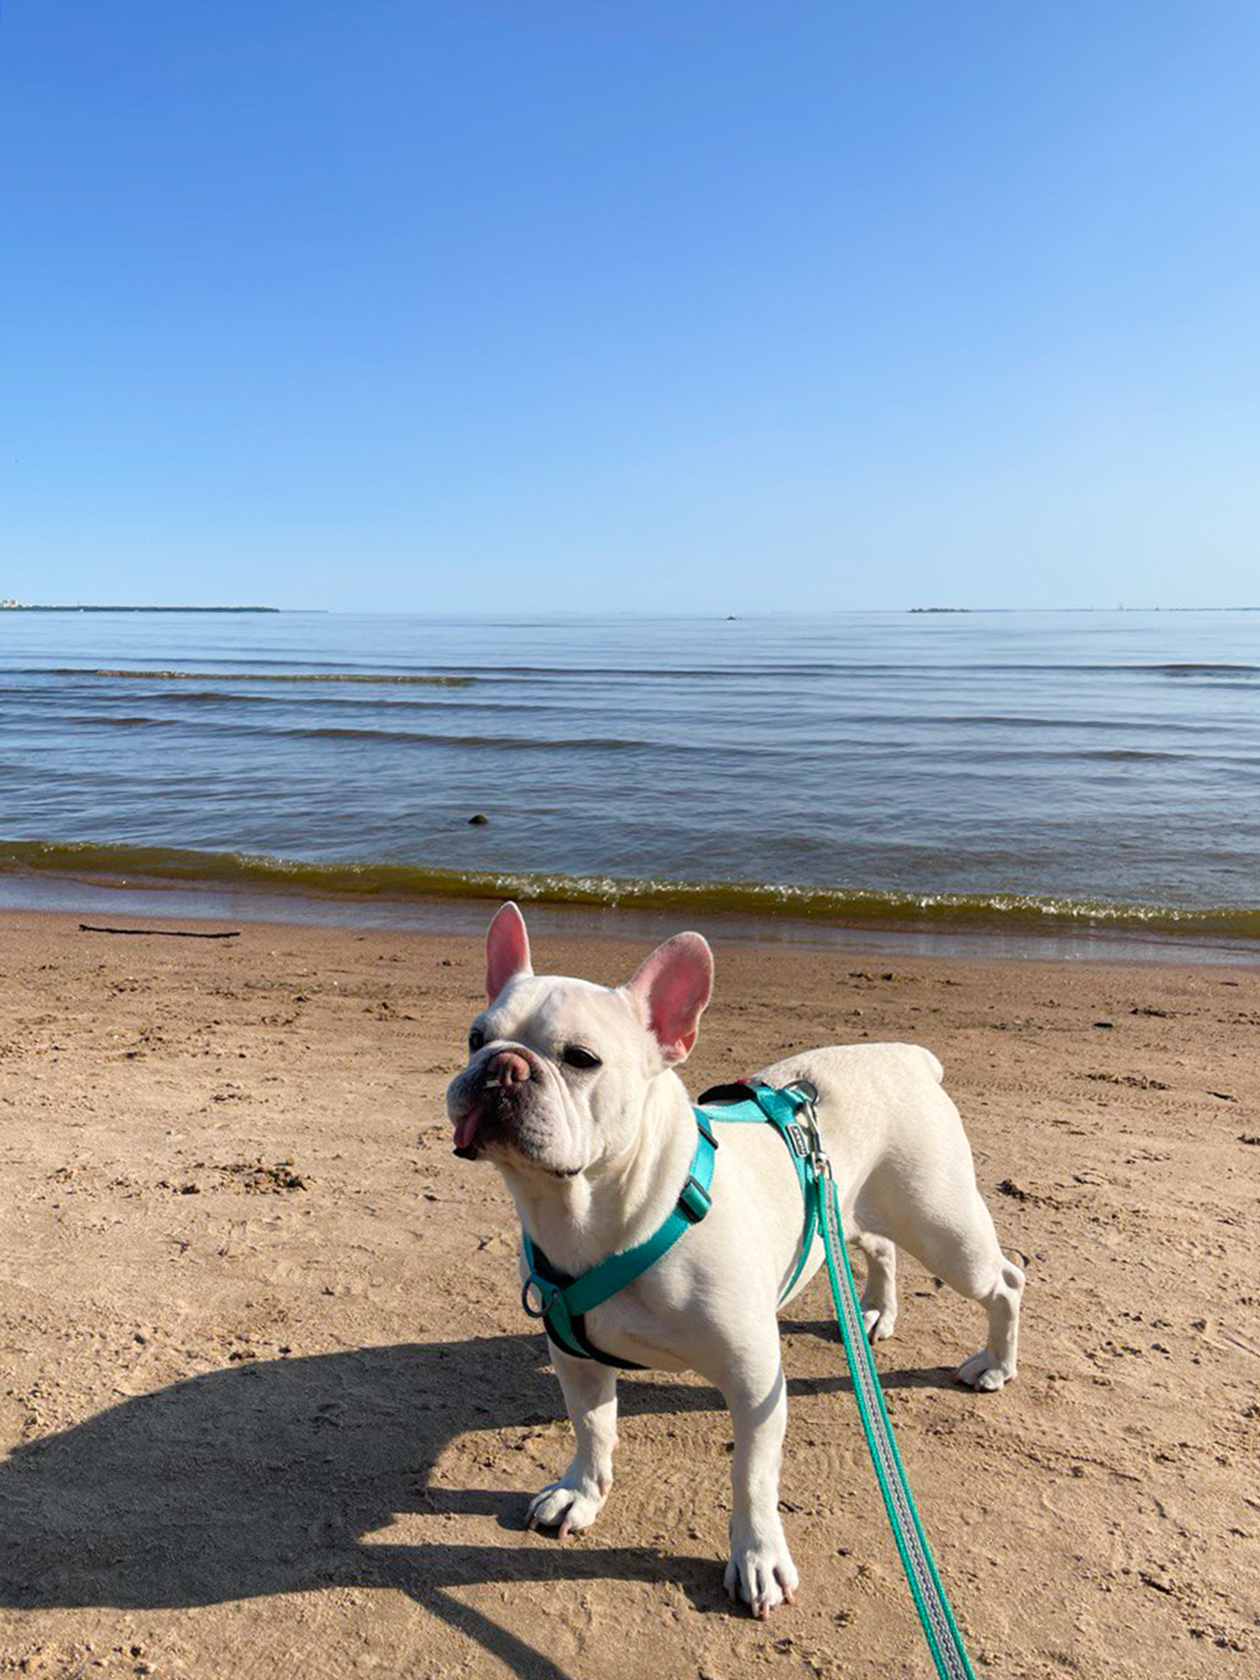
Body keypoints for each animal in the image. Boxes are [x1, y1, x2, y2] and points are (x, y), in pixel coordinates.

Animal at [446, 907, 1028, 1612]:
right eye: (475, 1037)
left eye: (581, 1059)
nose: (502, 1065)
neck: (602, 1214)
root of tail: (910, 1058)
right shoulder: (576, 1359)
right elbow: (593, 1429)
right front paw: (581, 1493)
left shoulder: (755, 1382)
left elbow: (752, 1474)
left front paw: (758, 1556)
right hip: (846, 1208)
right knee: (880, 1247)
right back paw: (872, 1313)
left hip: (945, 1232)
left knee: (1005, 1281)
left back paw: (995, 1363)